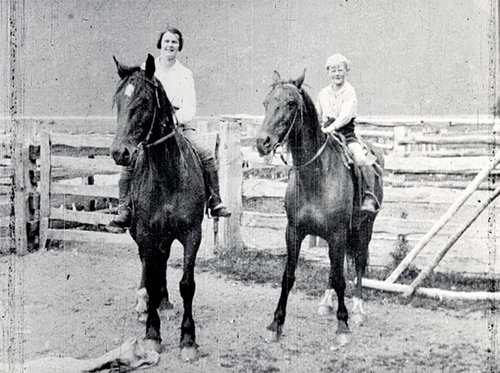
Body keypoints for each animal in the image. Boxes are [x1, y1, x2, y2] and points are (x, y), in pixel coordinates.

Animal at [111, 53, 205, 358]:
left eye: (143, 101)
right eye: (118, 102)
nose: (120, 153)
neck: (168, 176)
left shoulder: (191, 234)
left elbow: (187, 284)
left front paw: (188, 339)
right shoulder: (146, 234)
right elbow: (151, 277)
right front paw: (152, 334)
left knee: (161, 265)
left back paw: (163, 303)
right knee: (149, 267)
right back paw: (145, 306)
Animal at [256, 71, 384, 348]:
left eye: (291, 103)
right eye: (266, 102)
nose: (262, 142)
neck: (316, 175)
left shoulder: (338, 234)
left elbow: (342, 278)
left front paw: (343, 327)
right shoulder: (294, 231)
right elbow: (289, 276)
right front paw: (275, 324)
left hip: (365, 227)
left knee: (358, 263)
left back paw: (358, 310)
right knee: (335, 268)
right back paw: (326, 303)